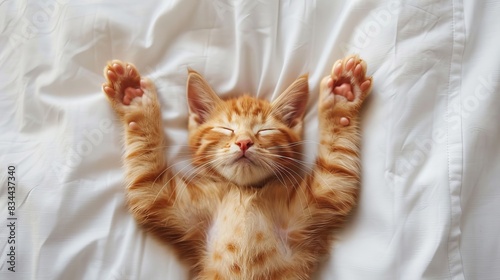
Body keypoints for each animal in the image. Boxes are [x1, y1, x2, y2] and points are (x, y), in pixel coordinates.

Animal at [102, 55, 372, 280]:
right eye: (226, 129)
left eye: (265, 130)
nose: (244, 142)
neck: (244, 192)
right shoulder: (162, 200)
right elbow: (145, 172)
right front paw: (133, 98)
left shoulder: (323, 195)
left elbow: (338, 164)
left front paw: (342, 98)